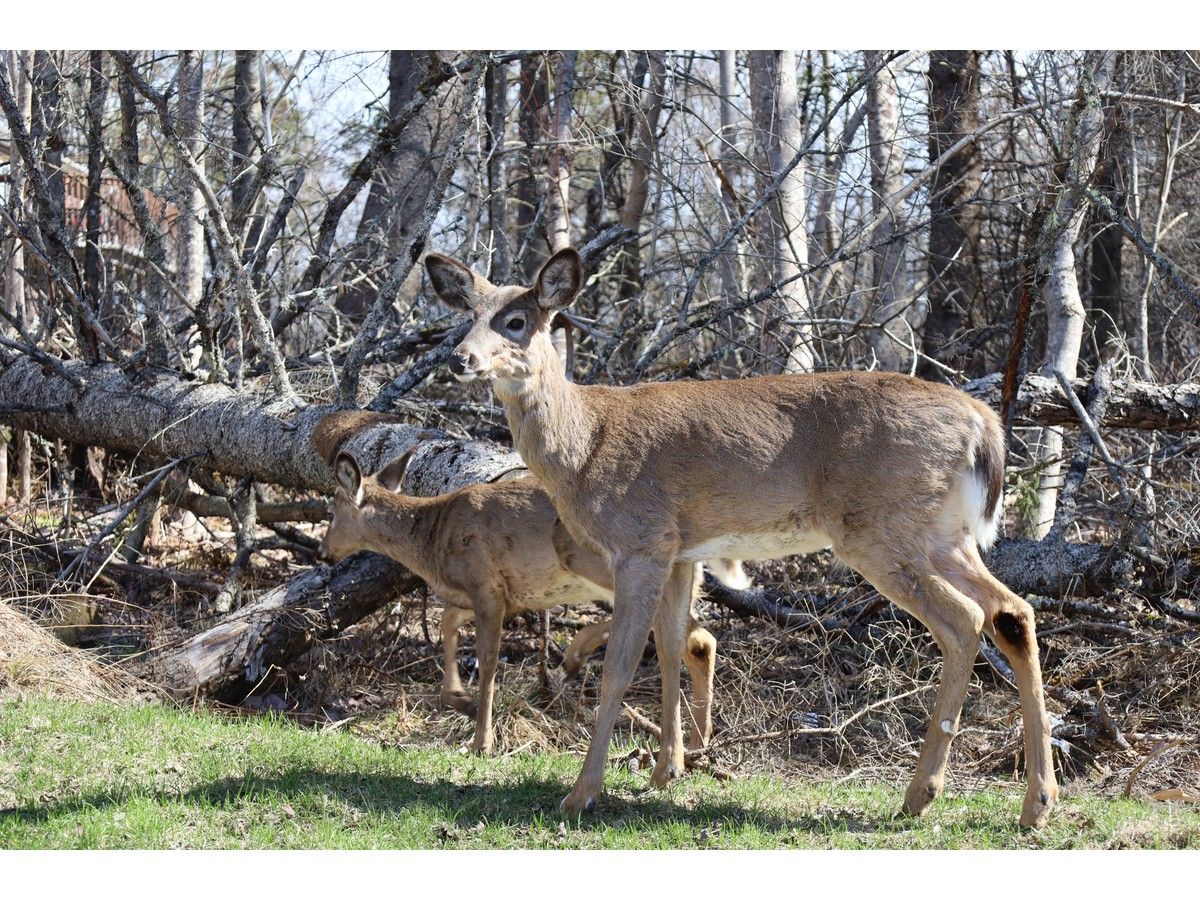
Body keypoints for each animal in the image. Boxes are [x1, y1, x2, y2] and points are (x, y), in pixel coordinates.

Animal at [311, 411, 749, 755]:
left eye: (331, 510)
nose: (322, 552)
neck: (434, 538)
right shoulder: (484, 594)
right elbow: (447, 624)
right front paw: (458, 698)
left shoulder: (486, 583)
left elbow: (487, 660)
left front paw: (481, 739)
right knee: (699, 639)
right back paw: (697, 741)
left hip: (606, 560)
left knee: (677, 629)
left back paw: (577, 655)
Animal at [423, 247, 1058, 829]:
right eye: (469, 314)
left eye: (516, 321)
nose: (458, 358)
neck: (585, 444)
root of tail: (983, 422)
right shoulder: (681, 551)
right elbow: (673, 646)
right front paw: (667, 770)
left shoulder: (640, 540)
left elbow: (622, 664)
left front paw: (583, 793)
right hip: (945, 534)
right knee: (1012, 610)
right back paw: (1036, 803)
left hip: (882, 529)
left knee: (964, 620)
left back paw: (921, 794)